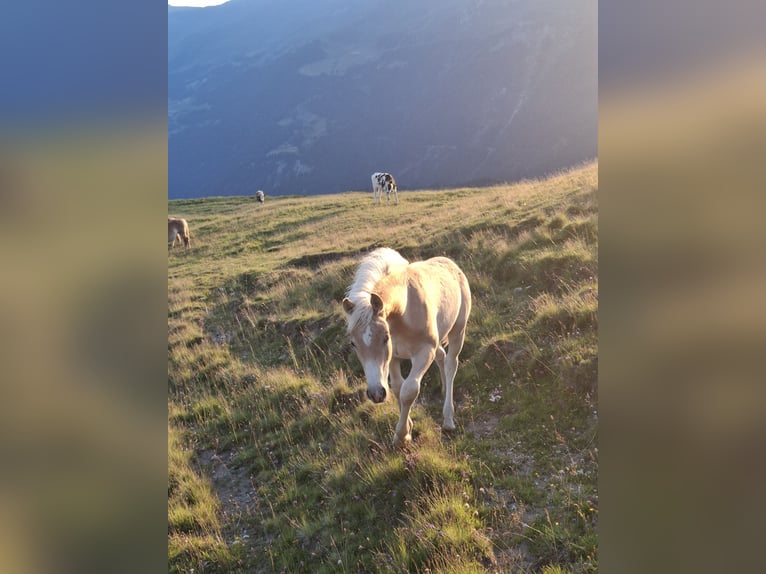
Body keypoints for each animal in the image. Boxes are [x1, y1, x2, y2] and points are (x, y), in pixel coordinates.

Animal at [342, 247, 471, 447]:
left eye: (385, 337)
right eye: (353, 343)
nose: (375, 394)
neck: (404, 311)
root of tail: (451, 264)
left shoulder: (424, 352)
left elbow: (409, 391)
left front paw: (401, 436)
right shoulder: (392, 357)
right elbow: (397, 387)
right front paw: (408, 430)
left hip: (458, 331)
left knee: (451, 364)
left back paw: (448, 419)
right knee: (441, 357)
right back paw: (442, 389)